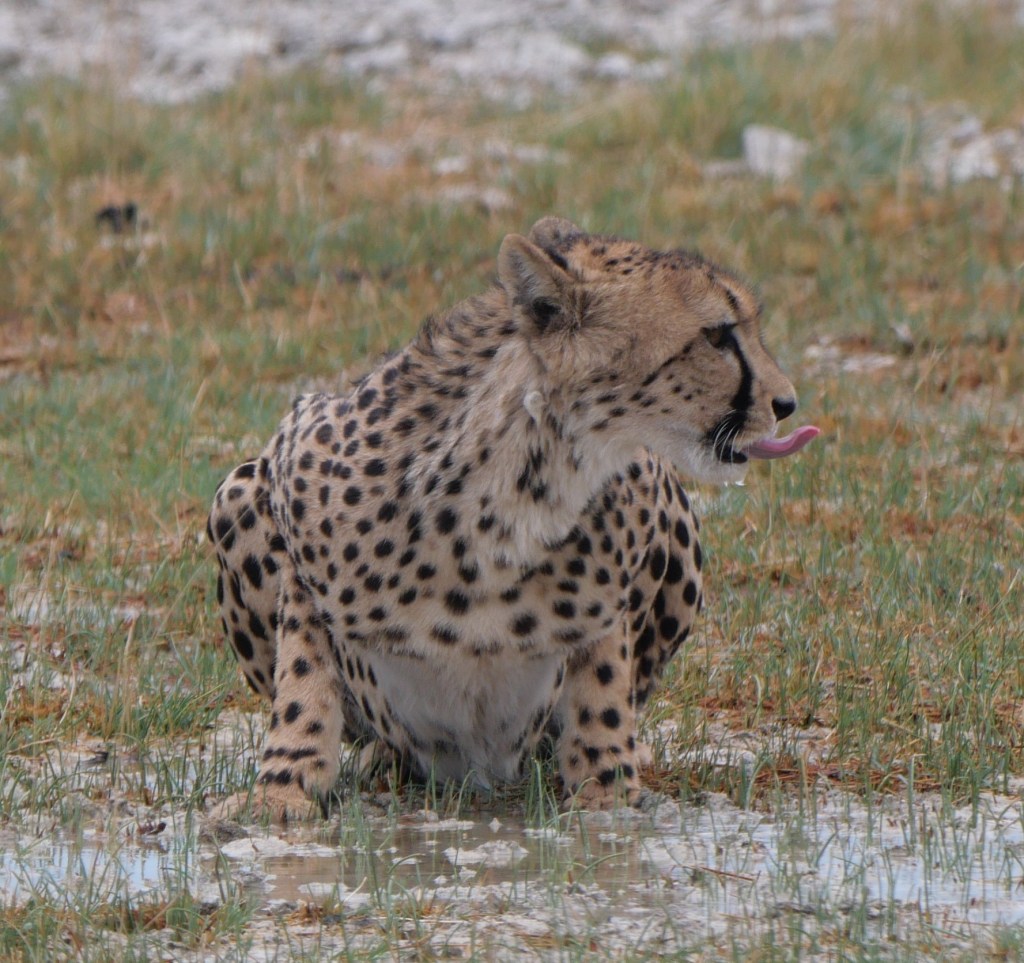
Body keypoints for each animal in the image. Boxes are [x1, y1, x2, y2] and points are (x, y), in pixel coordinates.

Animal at [207, 216, 815, 820]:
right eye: (716, 336)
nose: (787, 403)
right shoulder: (294, 471)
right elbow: (303, 674)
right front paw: (283, 786)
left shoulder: (633, 519)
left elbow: (603, 670)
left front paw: (606, 783)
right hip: (237, 493)